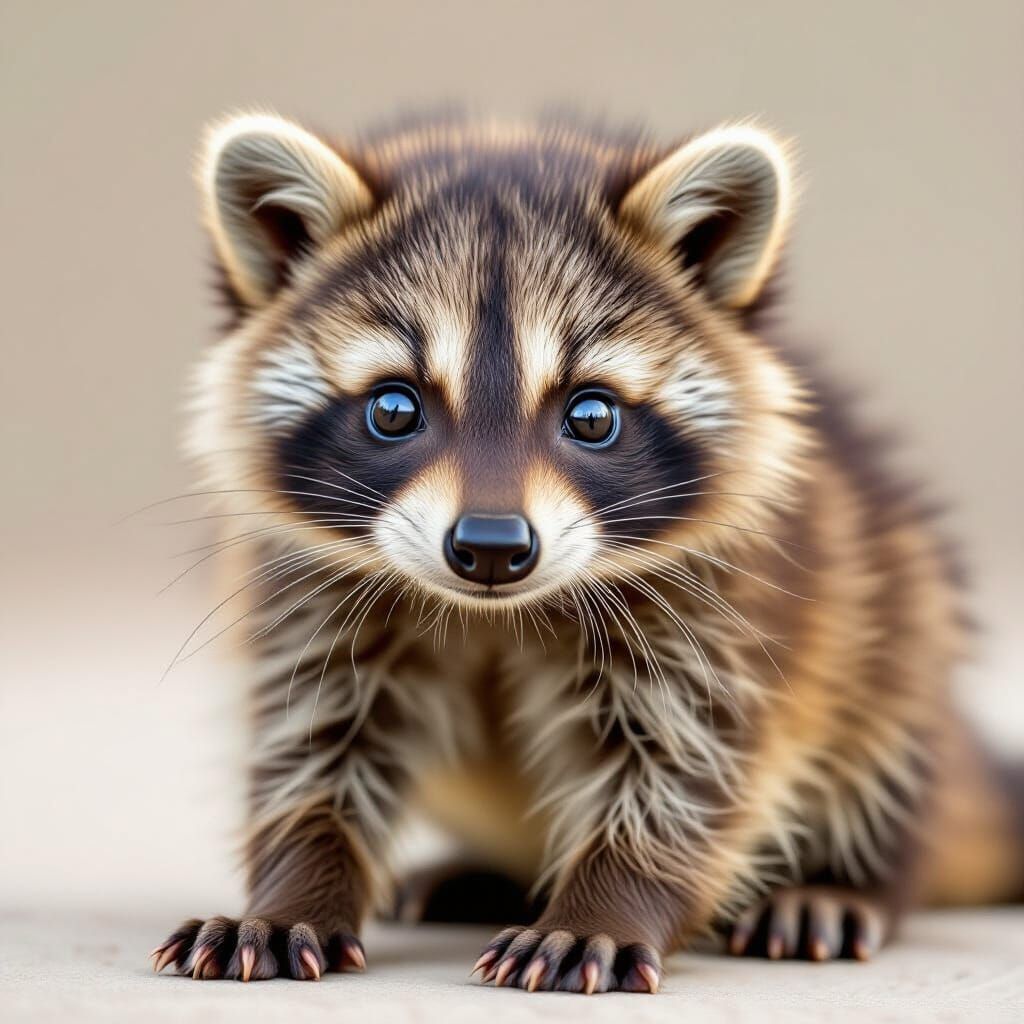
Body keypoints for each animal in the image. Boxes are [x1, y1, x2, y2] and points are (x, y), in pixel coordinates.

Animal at [151, 112, 1024, 992]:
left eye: (591, 416)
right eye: (393, 409)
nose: (492, 547)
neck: (495, 613)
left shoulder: (726, 607)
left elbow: (685, 771)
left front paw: (603, 905)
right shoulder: (312, 590)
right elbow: (315, 744)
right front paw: (293, 886)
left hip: (897, 620)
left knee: (878, 730)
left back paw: (840, 880)